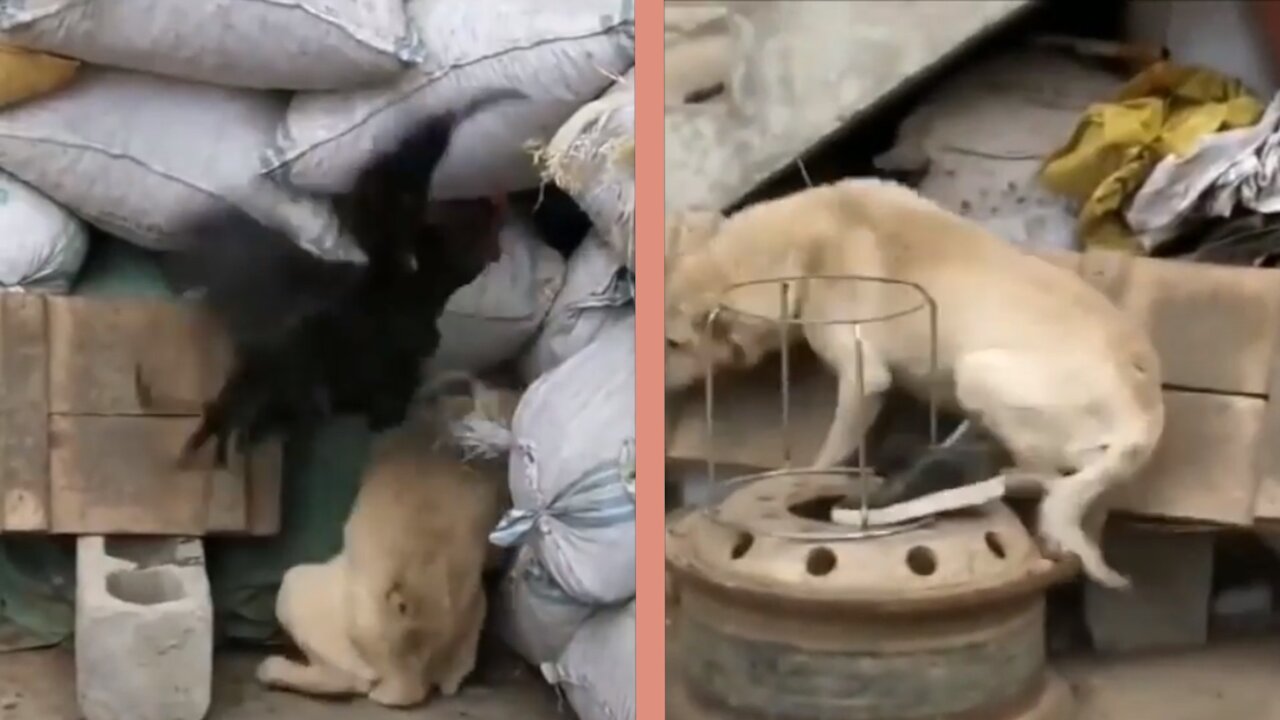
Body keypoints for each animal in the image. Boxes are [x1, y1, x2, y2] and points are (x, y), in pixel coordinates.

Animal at [665, 178, 1167, 584]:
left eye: (672, 343)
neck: (801, 246)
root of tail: (1146, 414)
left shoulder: (863, 378)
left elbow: (826, 454)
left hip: (978, 373)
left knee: (1042, 475)